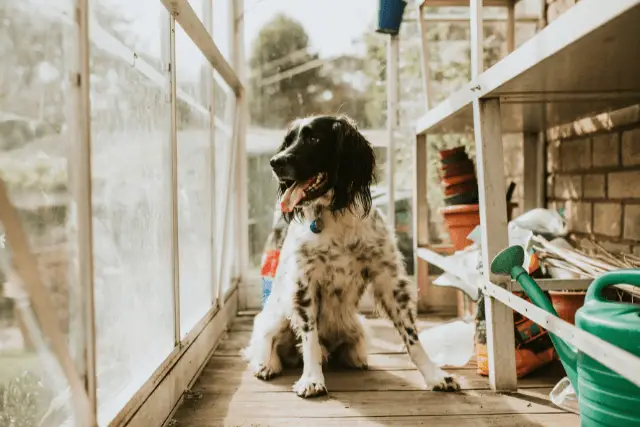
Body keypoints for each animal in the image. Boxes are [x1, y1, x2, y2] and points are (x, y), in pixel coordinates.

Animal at [241, 115, 460, 400]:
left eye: (314, 138)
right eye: (288, 142)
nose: (275, 161)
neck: (334, 215)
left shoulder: (389, 280)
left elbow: (411, 335)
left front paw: (435, 375)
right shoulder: (303, 284)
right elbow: (309, 339)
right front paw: (311, 379)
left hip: (357, 326)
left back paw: (354, 359)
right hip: (277, 315)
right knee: (269, 342)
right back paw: (266, 365)